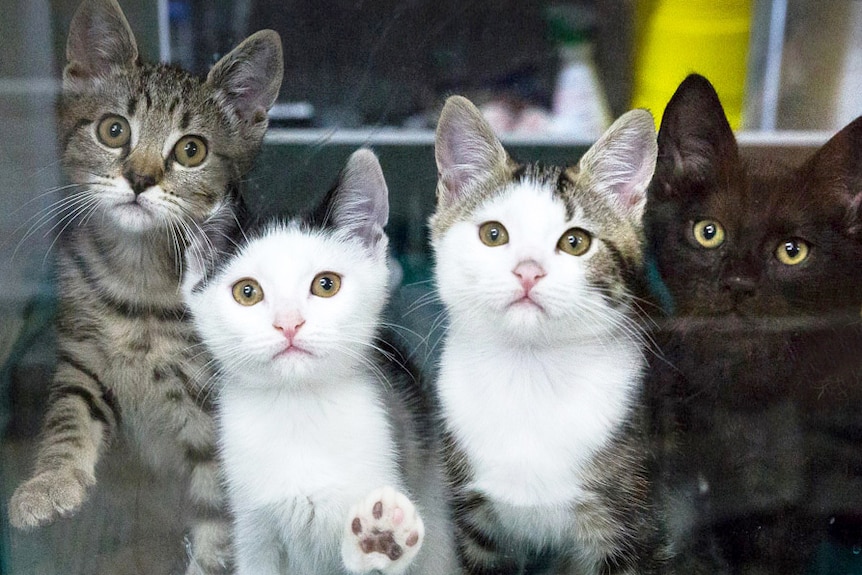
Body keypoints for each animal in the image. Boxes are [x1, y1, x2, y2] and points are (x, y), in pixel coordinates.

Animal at [7, 2, 284, 572]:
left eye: (191, 150)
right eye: (114, 130)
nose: (138, 178)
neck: (140, 283)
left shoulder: (220, 408)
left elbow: (221, 513)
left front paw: (212, 559)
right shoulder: (81, 360)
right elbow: (69, 418)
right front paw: (50, 481)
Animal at [185, 150, 460, 575]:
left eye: (326, 284)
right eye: (247, 292)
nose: (289, 323)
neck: (299, 412)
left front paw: (378, 540)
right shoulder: (252, 531)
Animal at [436, 95, 672, 575]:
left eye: (576, 242)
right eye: (493, 234)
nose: (528, 271)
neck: (530, 374)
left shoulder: (633, 528)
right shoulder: (476, 526)